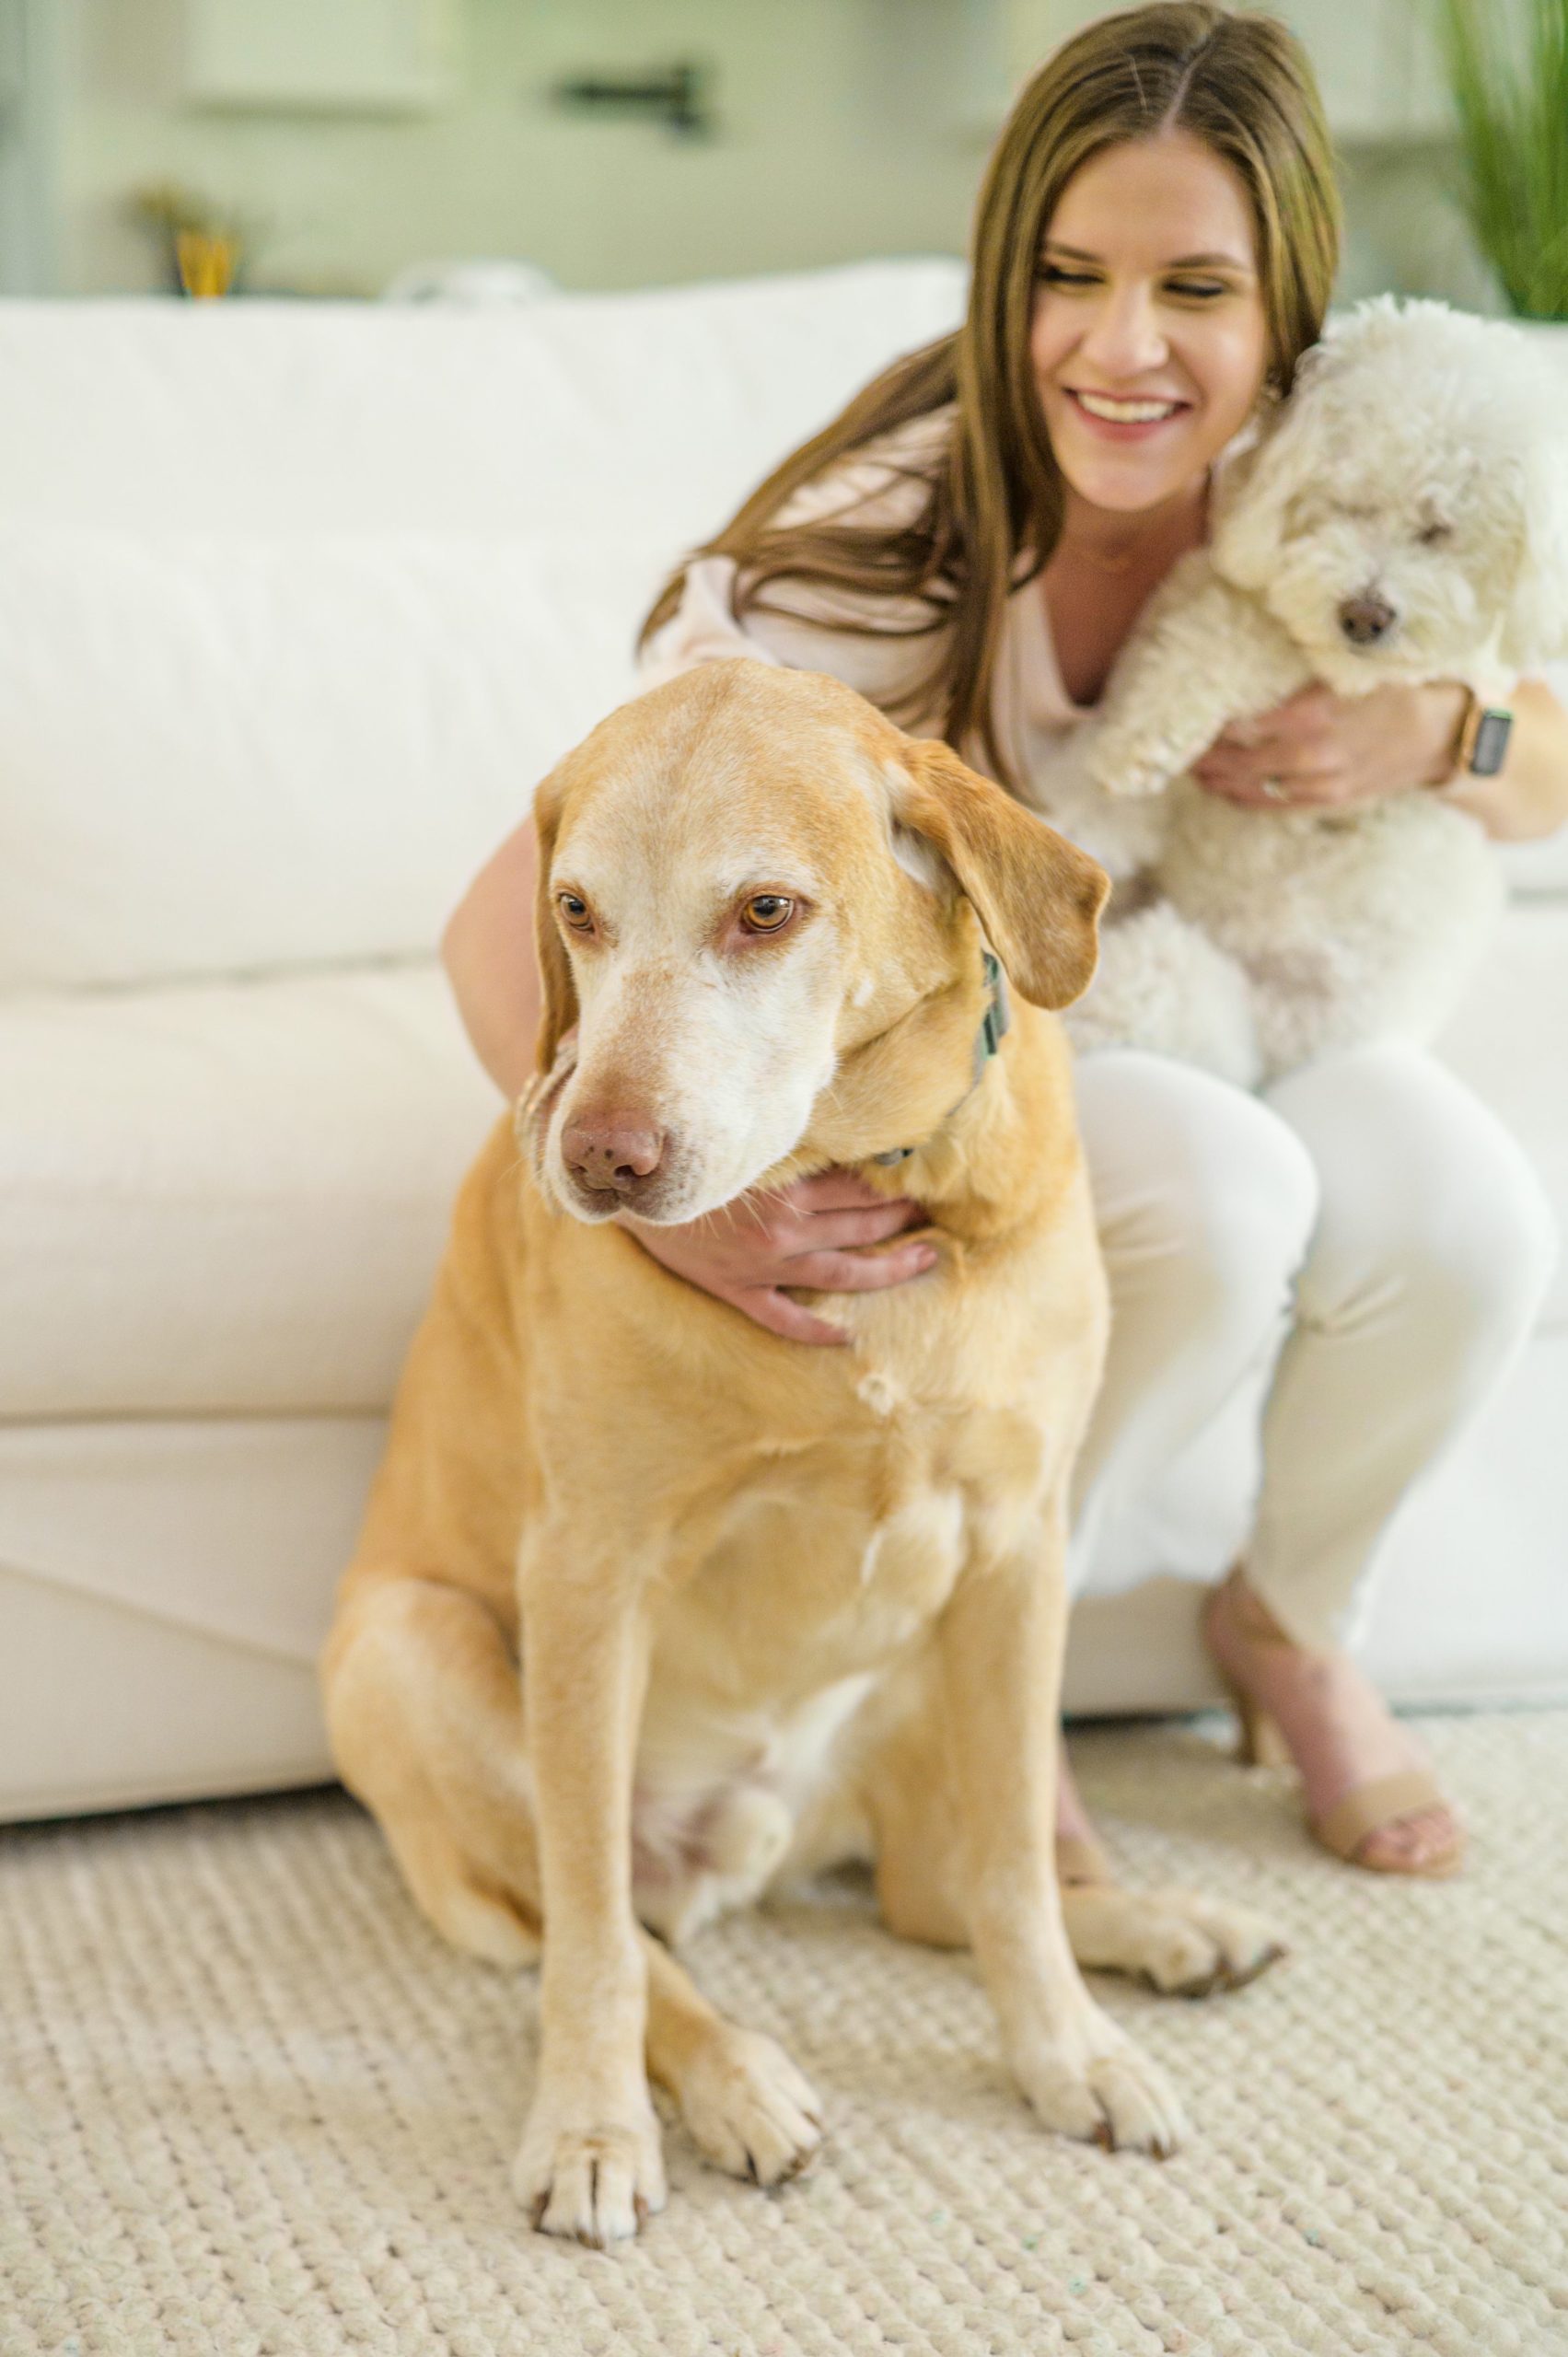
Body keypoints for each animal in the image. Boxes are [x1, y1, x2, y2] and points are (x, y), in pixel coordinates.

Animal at [322, 664, 1283, 2244]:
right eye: (575, 912)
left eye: (764, 911)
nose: (595, 1161)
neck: (857, 1181)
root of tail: (745, 1844)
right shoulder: (586, 1575)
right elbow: (594, 1944)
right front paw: (589, 2128)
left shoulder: (1017, 1551)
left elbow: (1015, 1868)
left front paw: (1064, 2053)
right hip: (417, 1653)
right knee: (630, 1939)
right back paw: (735, 2083)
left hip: (942, 1686)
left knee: (940, 1892)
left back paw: (1158, 1929)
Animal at [1037, 296, 1565, 1093]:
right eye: (1346, 503)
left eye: (1438, 530)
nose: (1363, 616)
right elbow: (1211, 643)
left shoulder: (1424, 679)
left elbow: (1258, 645)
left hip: (1222, 1003)